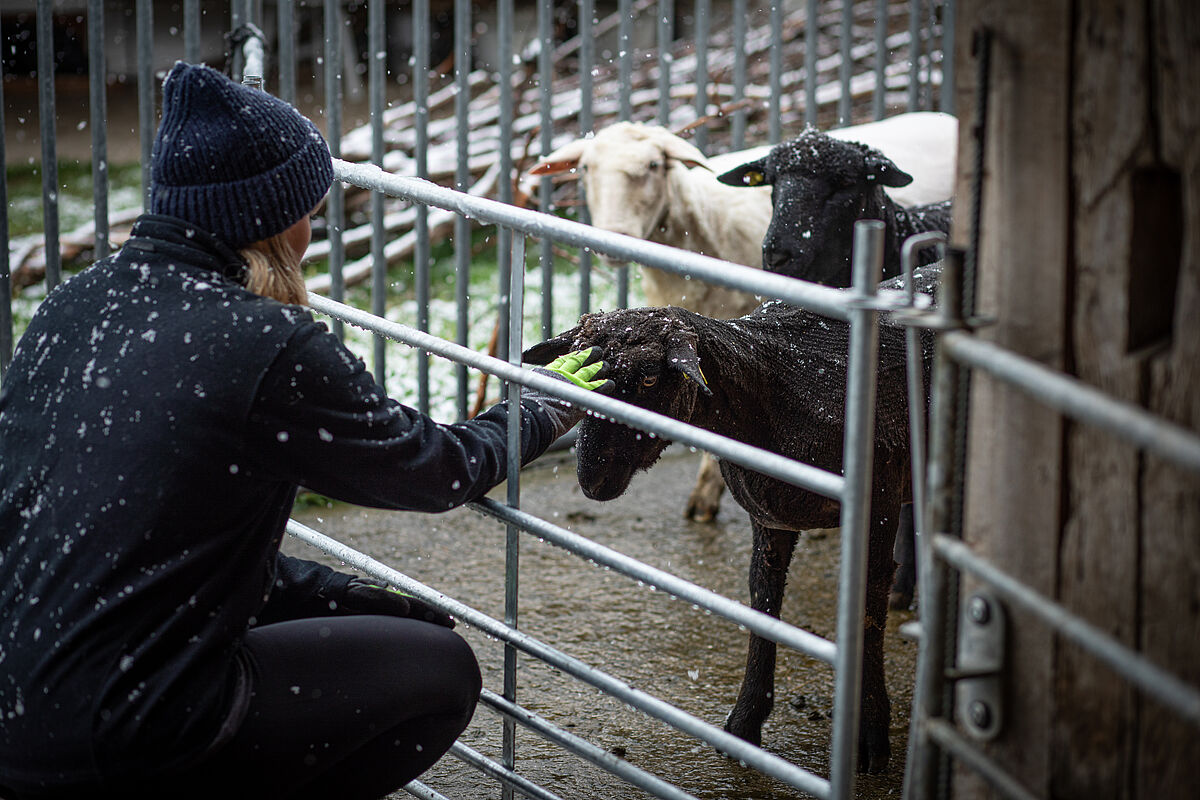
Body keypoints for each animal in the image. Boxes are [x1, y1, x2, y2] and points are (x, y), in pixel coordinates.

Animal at [520, 267, 940, 777]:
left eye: (648, 379)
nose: (591, 478)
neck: (772, 389)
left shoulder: (876, 504)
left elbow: (866, 609)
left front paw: (870, 737)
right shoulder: (769, 514)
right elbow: (763, 599)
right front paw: (743, 726)